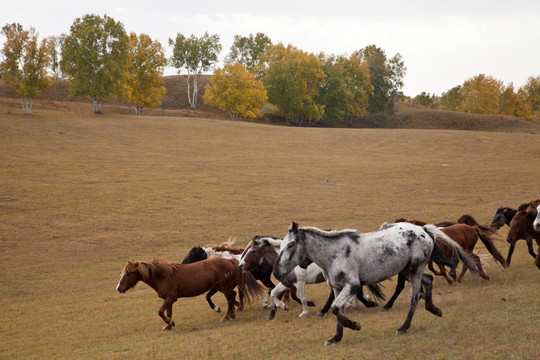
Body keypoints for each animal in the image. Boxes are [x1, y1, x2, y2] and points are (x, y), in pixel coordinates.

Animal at [116, 258, 264, 330]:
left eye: (128, 273)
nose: (118, 288)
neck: (163, 276)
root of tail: (229, 261)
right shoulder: (168, 299)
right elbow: (168, 313)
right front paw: (169, 325)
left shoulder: (171, 298)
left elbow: (160, 312)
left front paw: (169, 323)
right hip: (220, 287)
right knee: (233, 296)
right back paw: (232, 313)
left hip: (224, 286)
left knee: (230, 298)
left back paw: (226, 317)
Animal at [274, 222, 476, 346]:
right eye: (281, 245)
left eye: (291, 245)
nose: (276, 272)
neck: (335, 253)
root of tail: (423, 230)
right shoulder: (338, 288)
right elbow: (338, 311)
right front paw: (335, 338)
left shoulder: (352, 286)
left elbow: (336, 309)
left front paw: (354, 325)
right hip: (409, 271)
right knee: (429, 280)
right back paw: (433, 308)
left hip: (415, 269)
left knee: (415, 297)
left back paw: (403, 327)